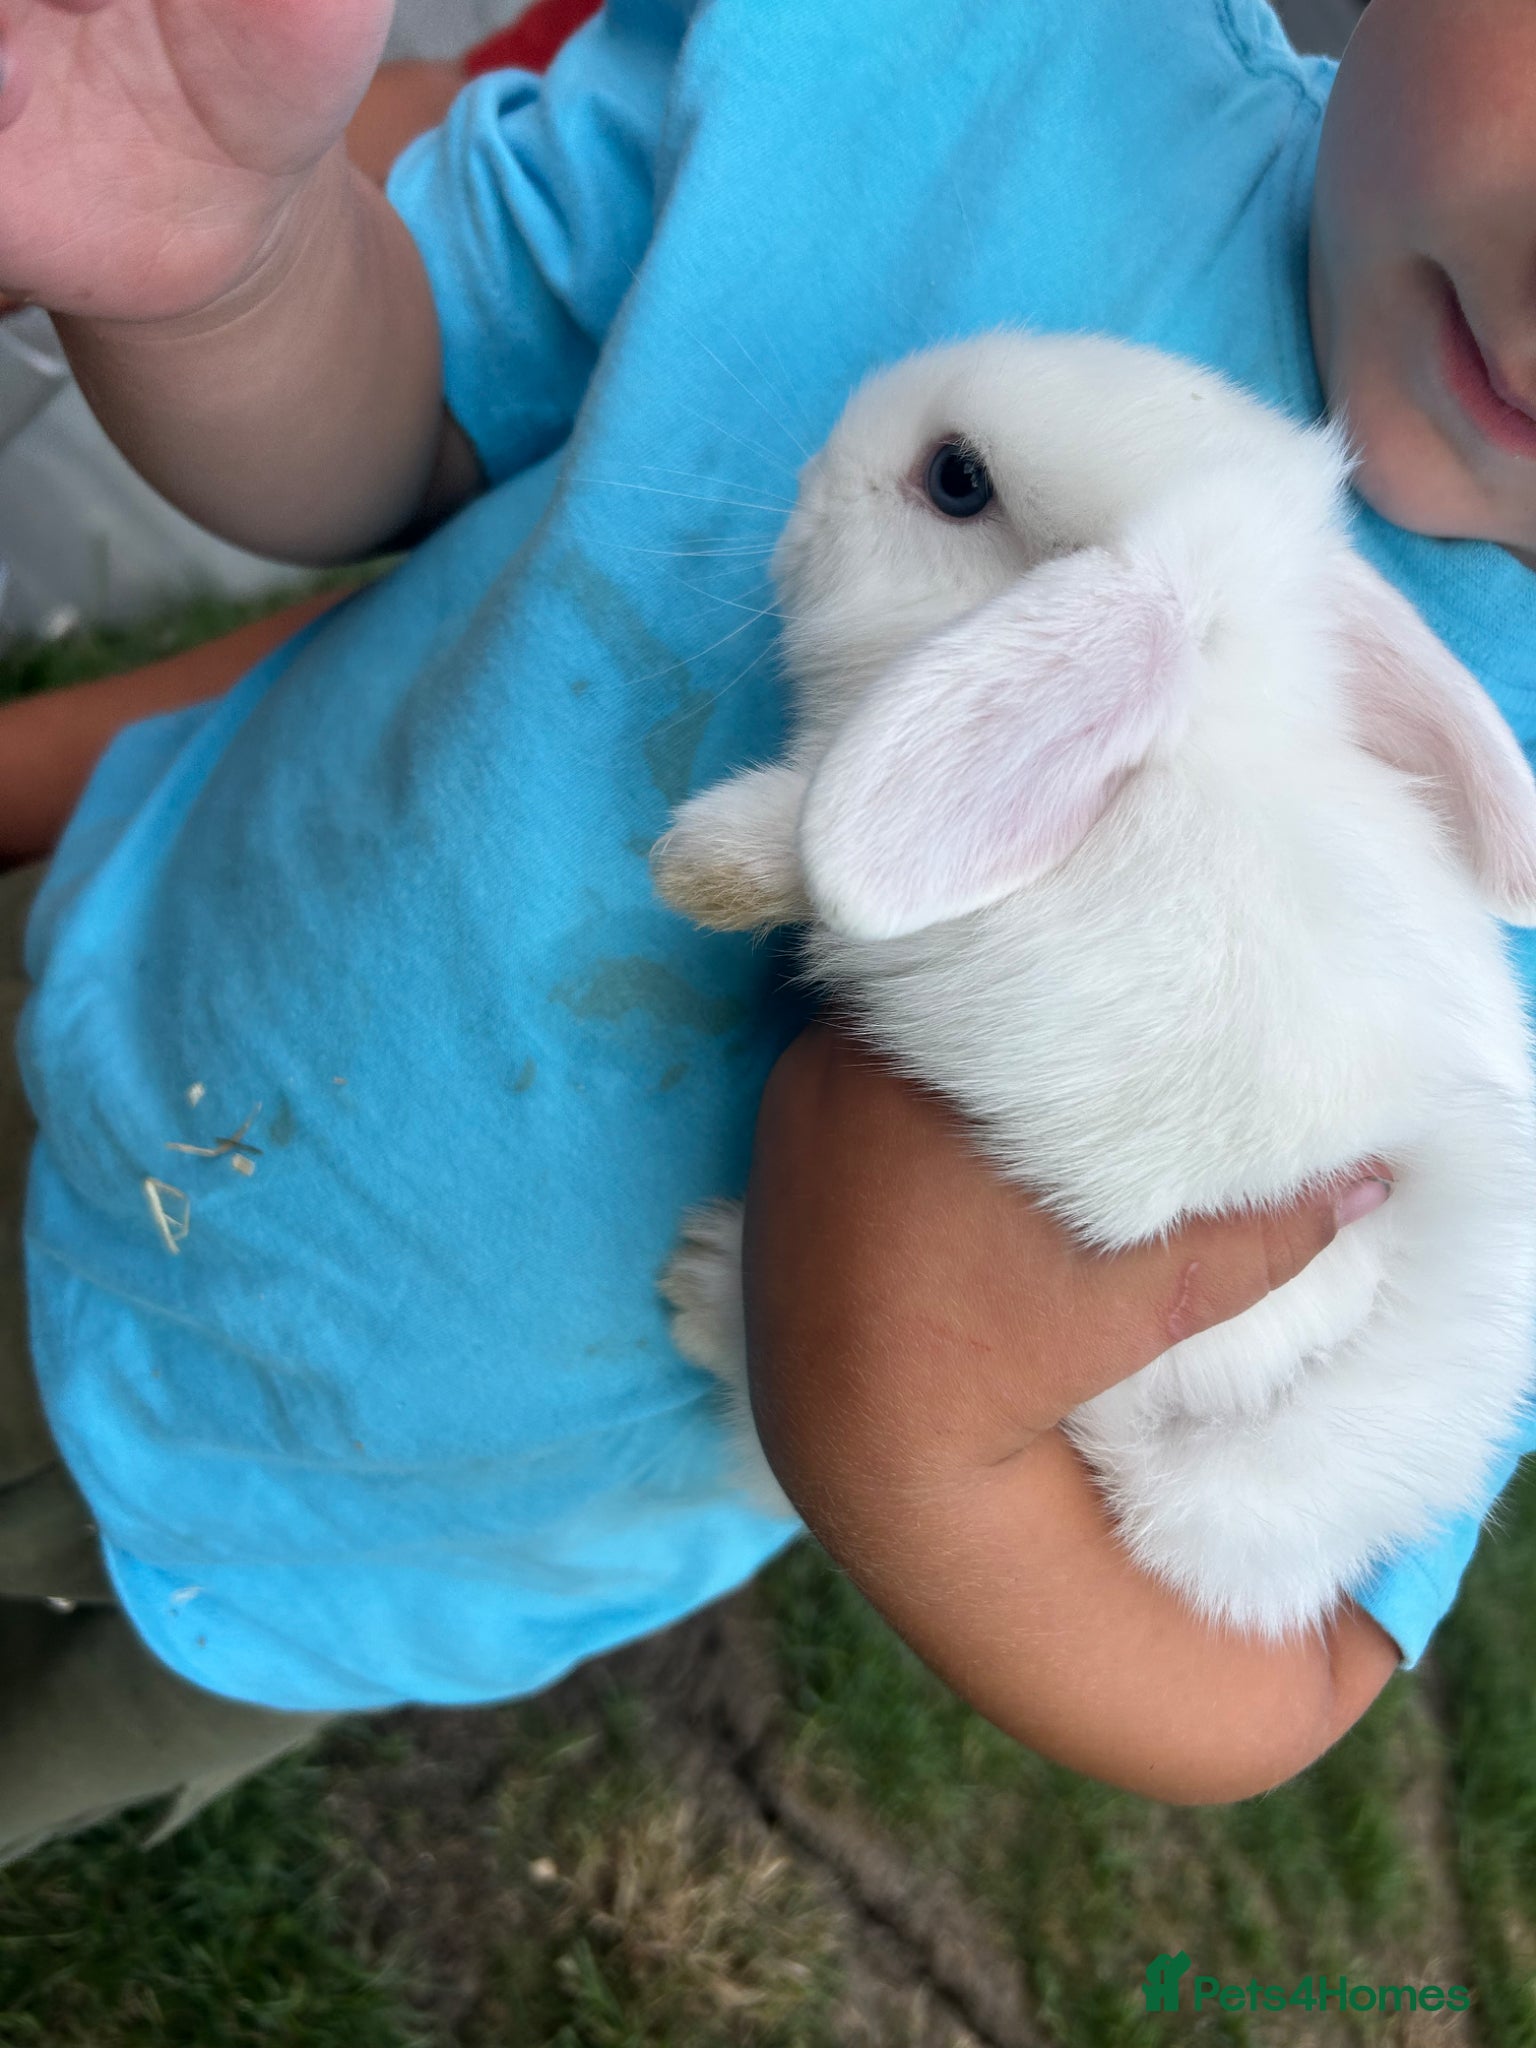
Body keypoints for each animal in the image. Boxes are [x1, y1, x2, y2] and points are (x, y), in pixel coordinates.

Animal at [651, 329, 1536, 1643]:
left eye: (957, 478)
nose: (809, 481)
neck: (1189, 741)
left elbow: (807, 832)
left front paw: (702, 860)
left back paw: (705, 1281)